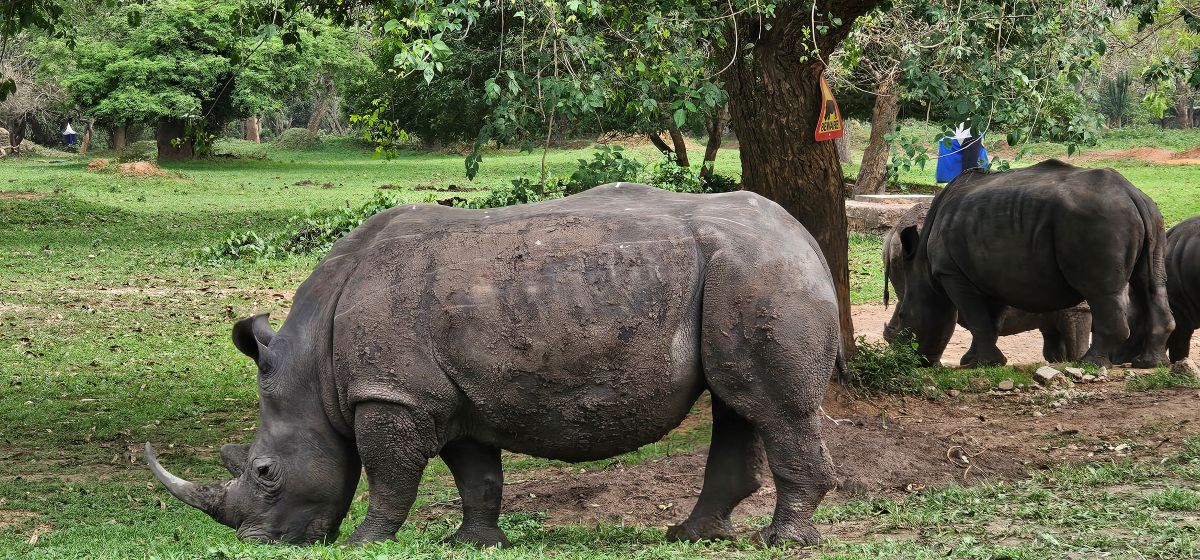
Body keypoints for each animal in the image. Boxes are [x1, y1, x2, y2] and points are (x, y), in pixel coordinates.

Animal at [146, 183, 842, 547]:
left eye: (265, 472)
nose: (252, 542)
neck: (311, 369)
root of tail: (805, 238)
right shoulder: (448, 397)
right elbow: (475, 474)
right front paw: (473, 544)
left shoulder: (391, 394)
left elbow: (389, 474)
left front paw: (368, 541)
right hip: (745, 271)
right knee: (736, 402)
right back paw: (691, 536)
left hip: (758, 271)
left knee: (775, 410)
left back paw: (781, 542)